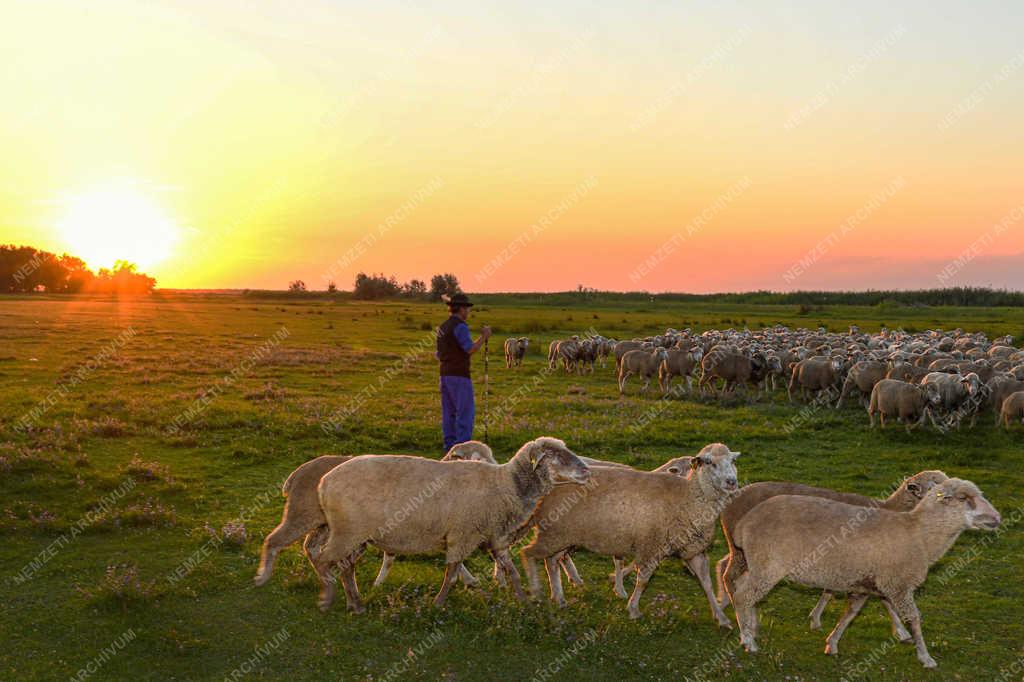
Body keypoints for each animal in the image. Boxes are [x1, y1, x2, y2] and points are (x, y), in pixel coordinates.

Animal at [253, 438, 497, 585]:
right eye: (478, 460)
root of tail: (298, 472)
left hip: (323, 523)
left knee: (310, 546)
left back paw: (327, 577)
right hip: (301, 513)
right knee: (275, 540)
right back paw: (264, 576)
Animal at [311, 436, 589, 610]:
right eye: (554, 455)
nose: (587, 470)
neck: (506, 485)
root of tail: (324, 483)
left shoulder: (495, 538)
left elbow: (512, 571)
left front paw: (524, 601)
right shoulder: (462, 534)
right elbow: (452, 573)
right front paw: (438, 603)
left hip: (355, 535)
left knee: (345, 566)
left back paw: (355, 603)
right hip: (347, 531)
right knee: (324, 560)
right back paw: (328, 600)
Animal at [524, 440, 741, 626]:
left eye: (732, 461)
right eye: (709, 462)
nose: (732, 482)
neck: (687, 496)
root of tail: (551, 484)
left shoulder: (694, 550)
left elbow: (706, 583)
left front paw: (721, 617)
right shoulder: (651, 545)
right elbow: (643, 580)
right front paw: (633, 608)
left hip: (564, 537)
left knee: (552, 561)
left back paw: (559, 596)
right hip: (555, 533)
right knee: (529, 553)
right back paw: (537, 593)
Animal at [716, 466, 946, 643]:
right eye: (933, 490)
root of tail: (730, 499)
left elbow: (830, 591)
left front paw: (815, 619)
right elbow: (886, 601)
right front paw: (903, 632)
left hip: (745, 551)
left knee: (724, 566)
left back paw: (727, 608)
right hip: (746, 551)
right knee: (729, 576)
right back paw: (738, 620)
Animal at [729, 477, 999, 663]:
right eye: (963, 498)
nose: (997, 517)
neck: (919, 534)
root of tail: (745, 522)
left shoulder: (865, 583)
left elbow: (850, 613)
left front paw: (832, 643)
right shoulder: (898, 585)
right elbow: (913, 619)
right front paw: (925, 657)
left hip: (757, 563)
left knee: (740, 588)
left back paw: (750, 627)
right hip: (767, 566)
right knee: (743, 595)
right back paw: (748, 641)